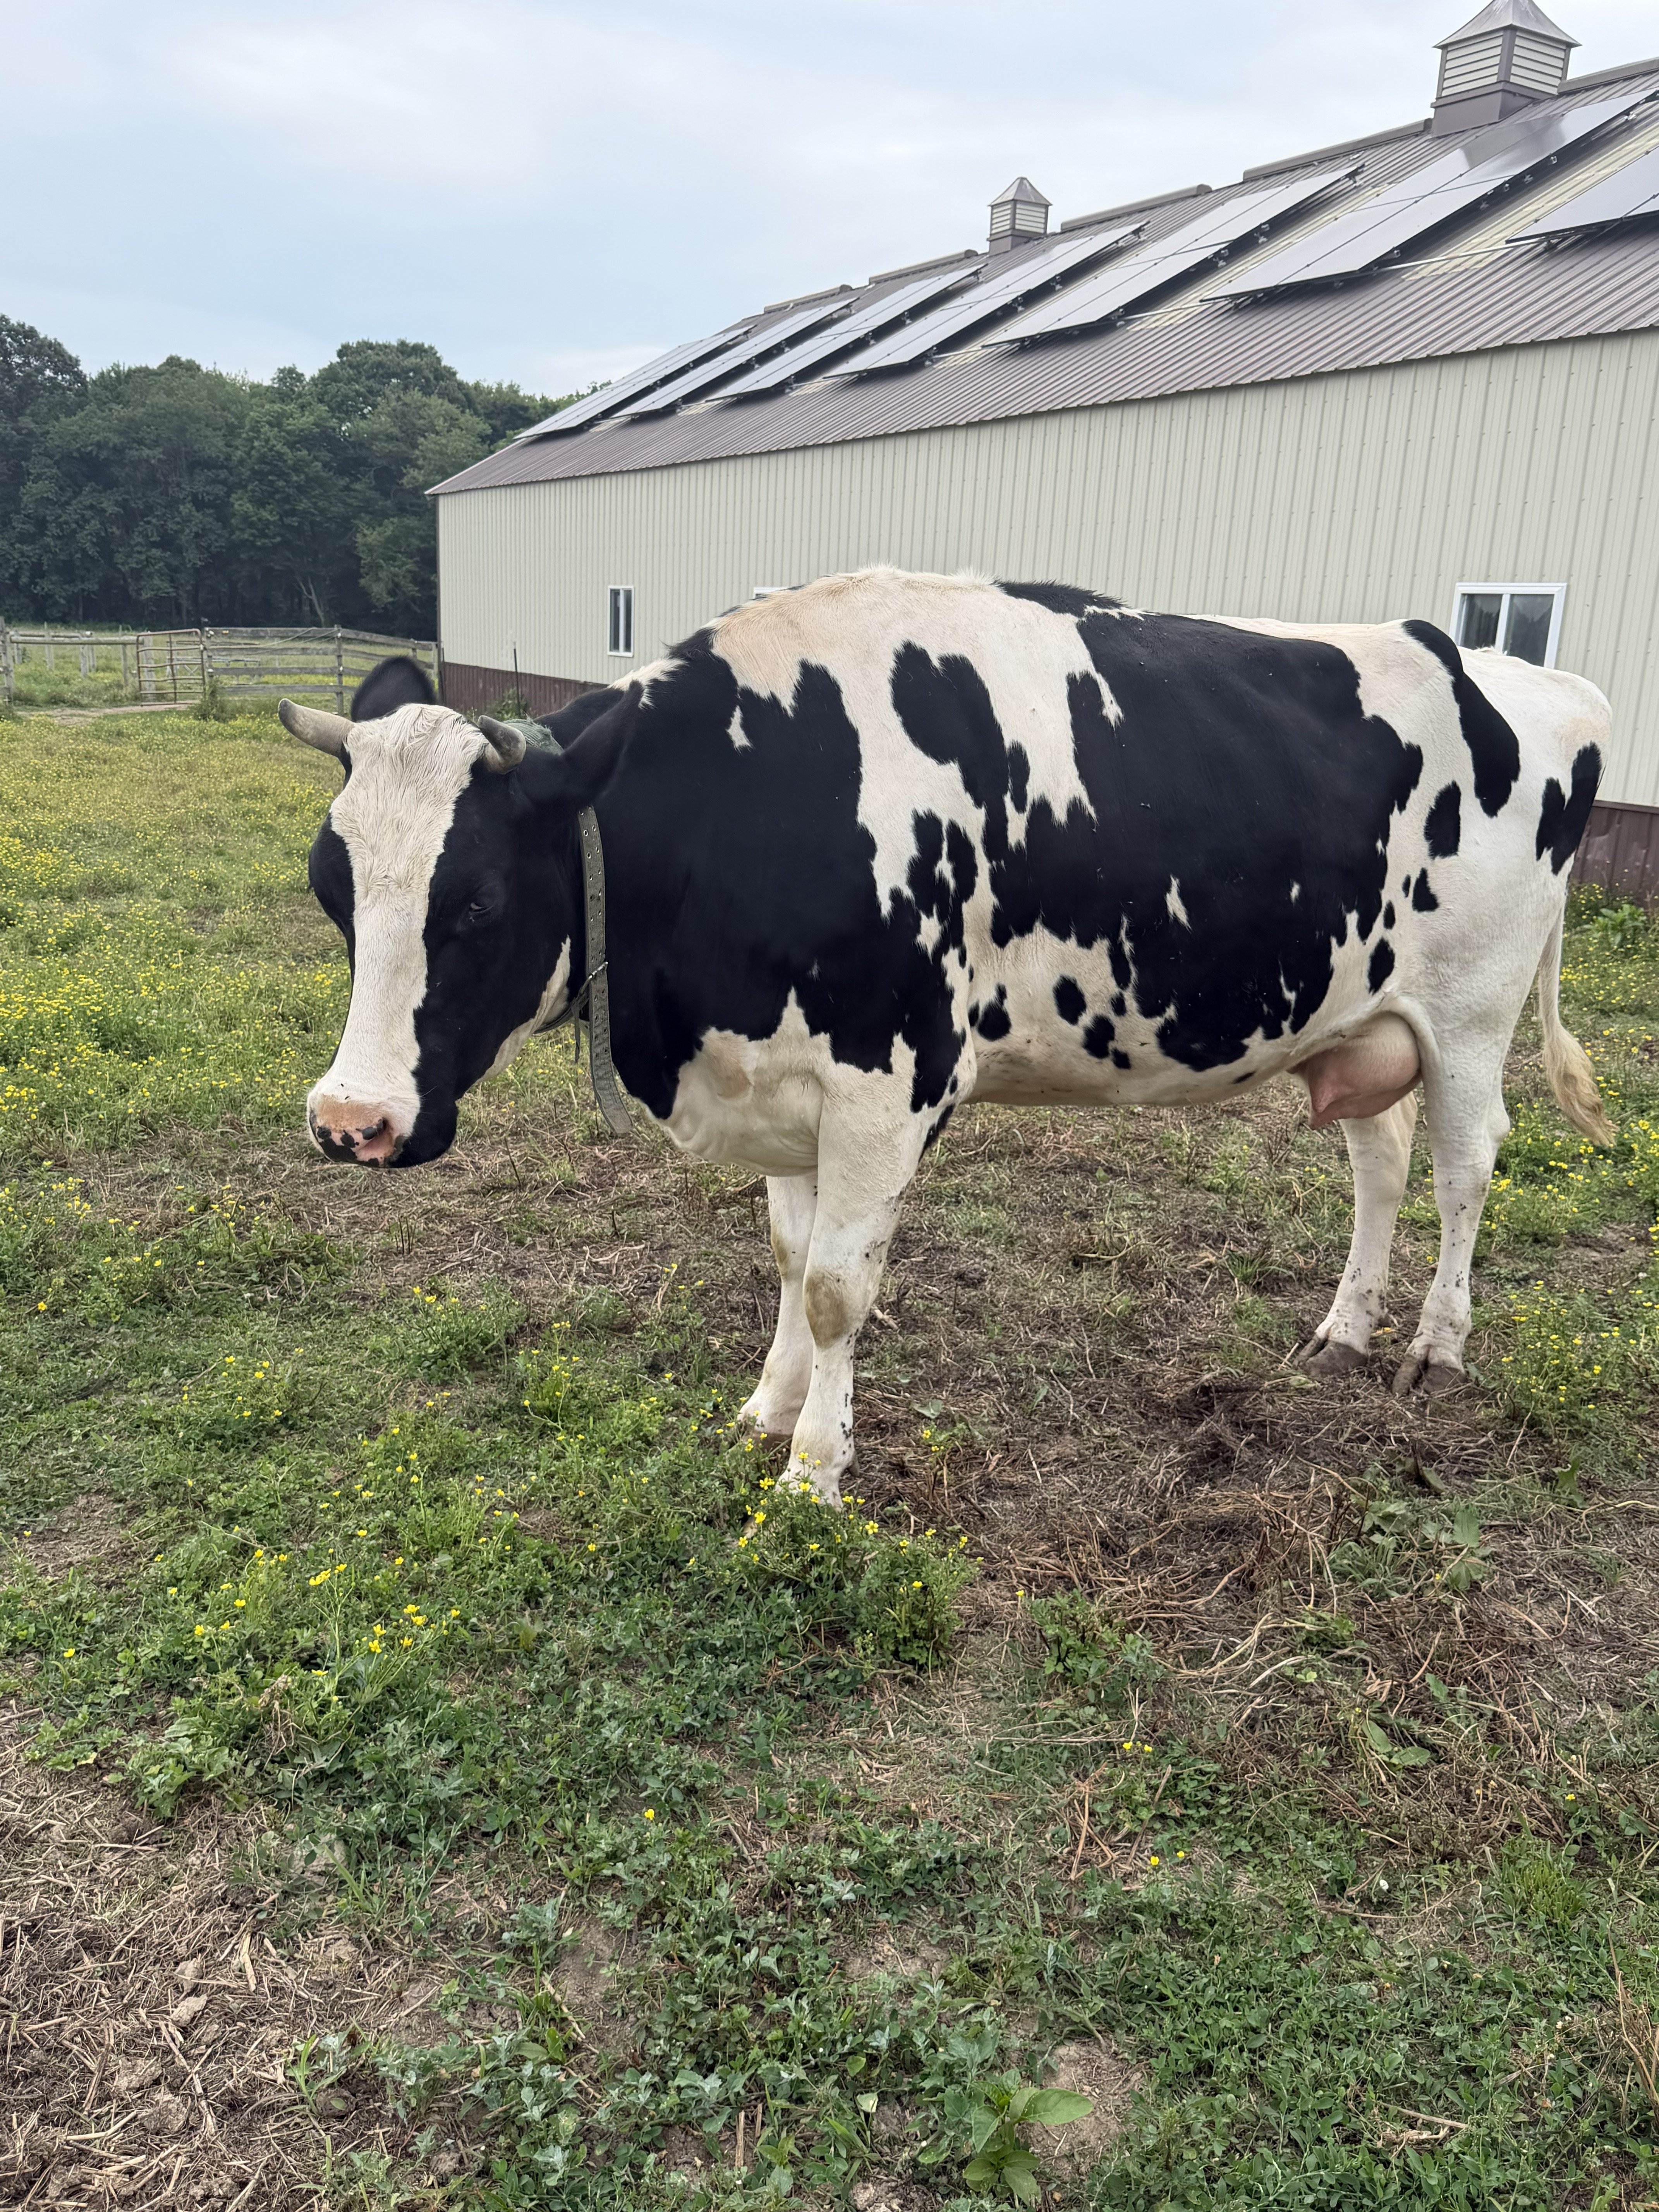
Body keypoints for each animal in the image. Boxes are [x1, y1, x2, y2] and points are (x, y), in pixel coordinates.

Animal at [281, 567, 1613, 1506]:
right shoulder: (781, 1075)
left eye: (479, 903)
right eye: (329, 889)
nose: (353, 1122)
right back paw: (1342, 1330)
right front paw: (767, 1410)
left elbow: (836, 1287)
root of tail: (1543, 681)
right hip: (1360, 1013)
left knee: (1463, 1166)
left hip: (1470, 1012)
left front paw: (814, 1471)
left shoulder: (891, 1075)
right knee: (1380, 1162)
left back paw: (1432, 1348)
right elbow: (788, 1257)